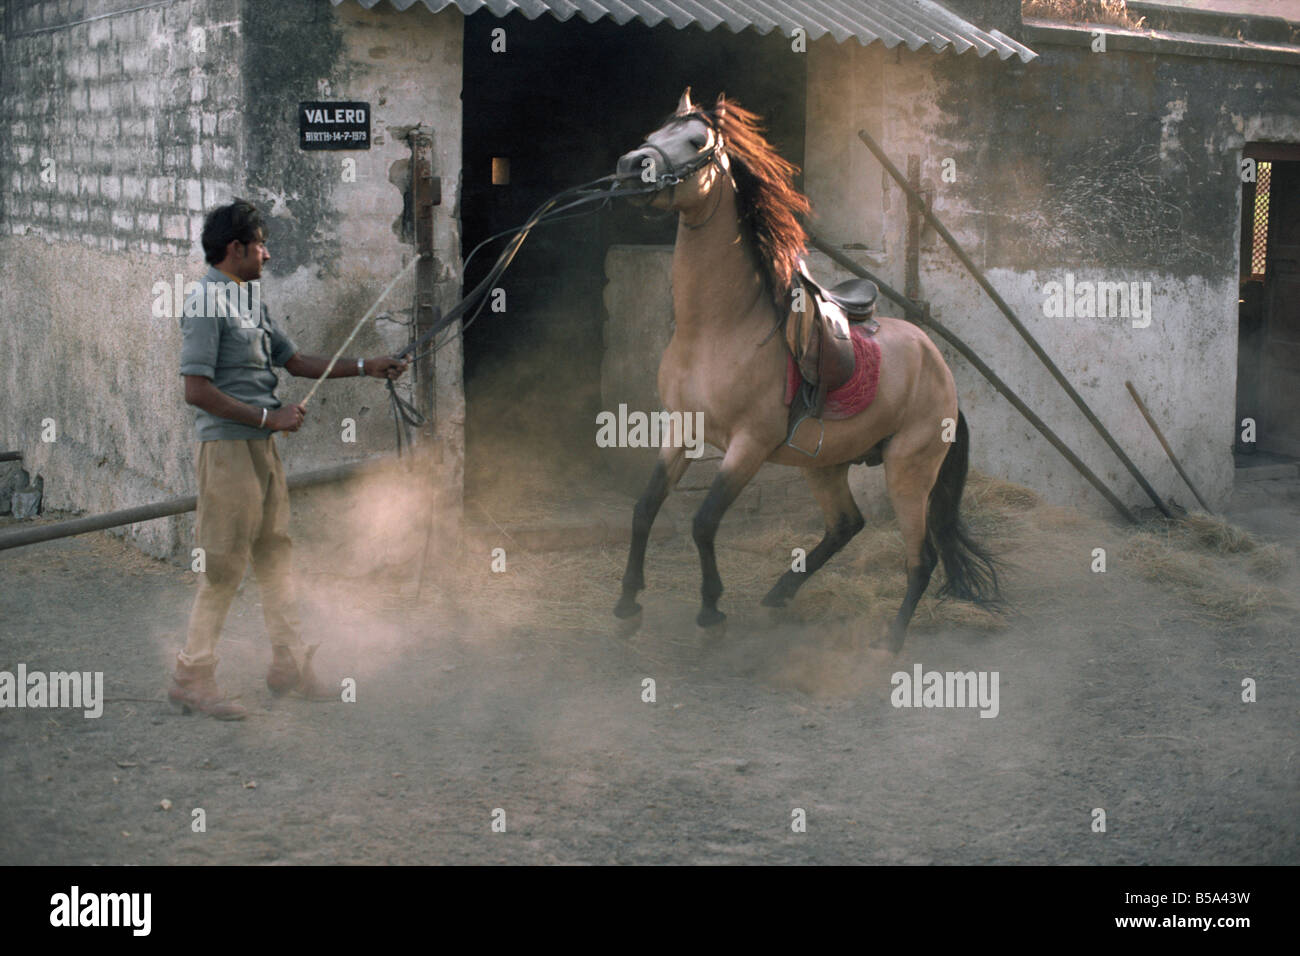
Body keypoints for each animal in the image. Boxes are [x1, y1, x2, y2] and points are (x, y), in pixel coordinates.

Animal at [611, 89, 1003, 655]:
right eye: (654, 132)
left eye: (696, 140)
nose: (628, 168)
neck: (717, 327)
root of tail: (939, 368)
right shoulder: (682, 429)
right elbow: (644, 509)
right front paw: (627, 606)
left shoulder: (749, 444)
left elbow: (704, 523)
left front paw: (711, 612)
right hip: (826, 463)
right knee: (846, 525)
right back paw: (779, 595)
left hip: (909, 471)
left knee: (921, 558)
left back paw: (890, 641)